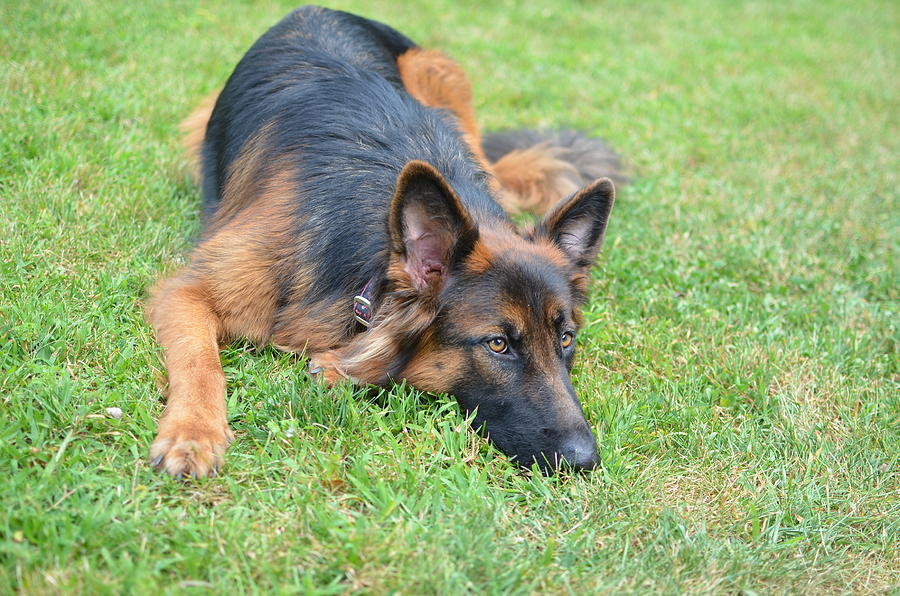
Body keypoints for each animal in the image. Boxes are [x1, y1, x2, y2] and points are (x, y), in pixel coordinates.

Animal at [148, 5, 624, 480]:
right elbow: (200, 362)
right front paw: (193, 433)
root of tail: (318, 9)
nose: (586, 460)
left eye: (566, 338)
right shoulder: (189, 292)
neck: (368, 253)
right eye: (497, 344)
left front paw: (338, 368)